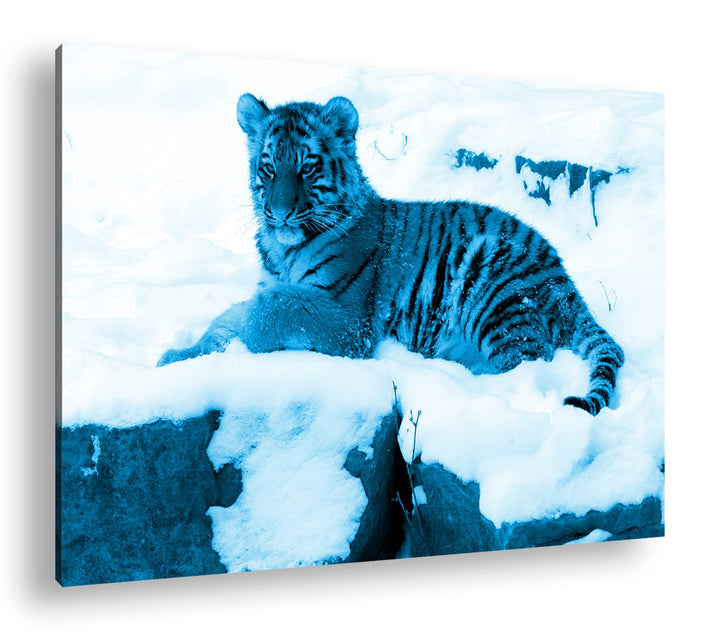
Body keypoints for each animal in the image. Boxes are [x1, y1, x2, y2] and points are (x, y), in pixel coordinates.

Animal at [158, 93, 624, 416]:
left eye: (307, 167)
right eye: (268, 167)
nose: (281, 211)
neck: (283, 250)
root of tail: (563, 275)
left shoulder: (348, 321)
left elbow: (270, 308)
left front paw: (249, 346)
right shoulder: (275, 284)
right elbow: (229, 317)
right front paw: (177, 358)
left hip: (490, 274)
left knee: (523, 361)